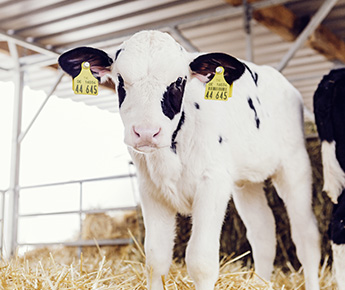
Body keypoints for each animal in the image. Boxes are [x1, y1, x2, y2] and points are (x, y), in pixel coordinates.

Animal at [58, 30, 320, 290]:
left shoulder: (212, 183)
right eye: (120, 80)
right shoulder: (151, 190)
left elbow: (201, 261)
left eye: (178, 81)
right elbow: (156, 259)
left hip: (294, 167)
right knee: (263, 230)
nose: (146, 132)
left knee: (306, 236)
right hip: (246, 181)